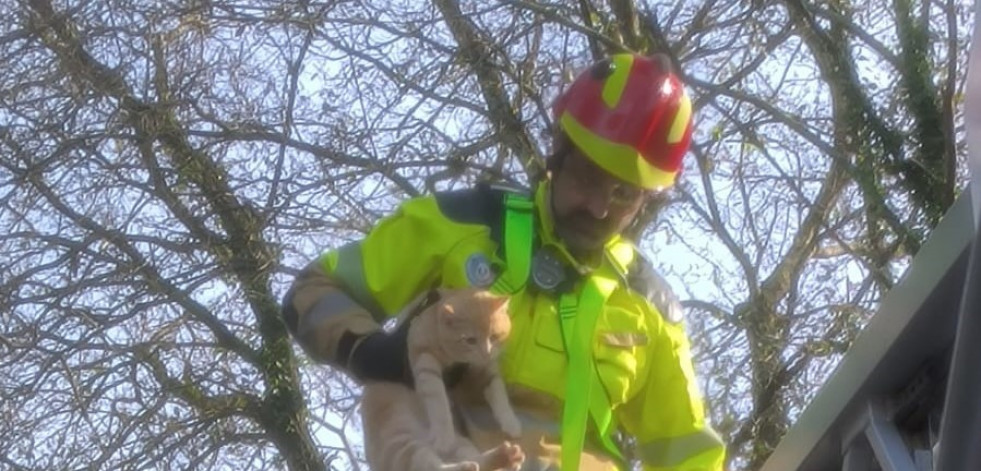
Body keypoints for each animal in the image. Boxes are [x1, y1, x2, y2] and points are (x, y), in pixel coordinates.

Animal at [360, 288, 524, 471]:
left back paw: (507, 458)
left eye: (494, 336)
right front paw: (444, 435)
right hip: (401, 444)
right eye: (470, 340)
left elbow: (499, 393)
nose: (486, 353)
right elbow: (437, 400)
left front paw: (510, 422)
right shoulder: (425, 359)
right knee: (430, 465)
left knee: (473, 460)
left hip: (461, 444)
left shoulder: (487, 370)